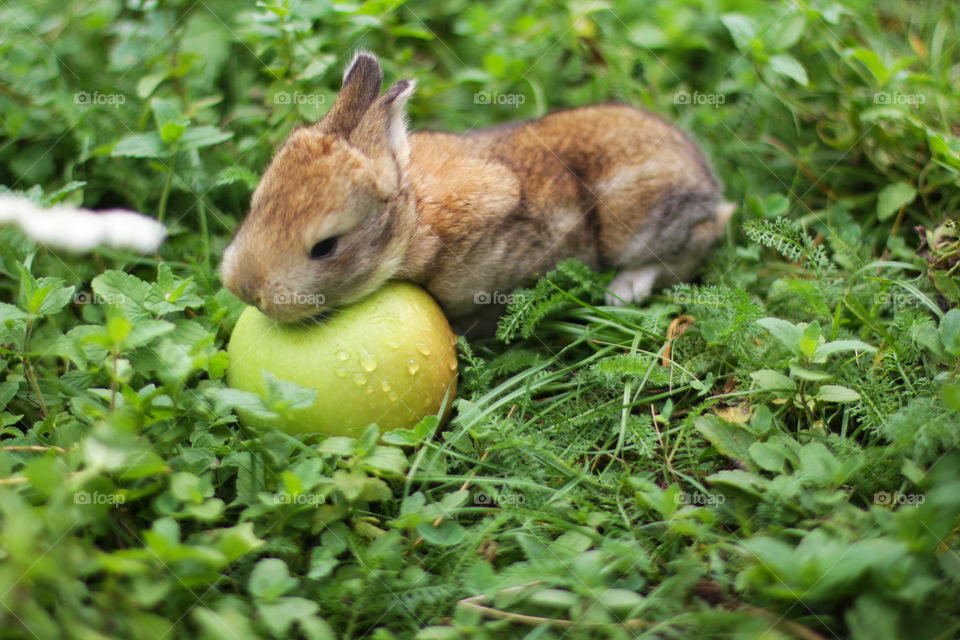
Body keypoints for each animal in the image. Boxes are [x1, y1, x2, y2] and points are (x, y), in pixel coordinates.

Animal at [223, 50, 736, 336]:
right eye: (255, 206)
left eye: (325, 247)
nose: (247, 291)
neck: (413, 224)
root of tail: (707, 181)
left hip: (633, 219)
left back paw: (623, 291)